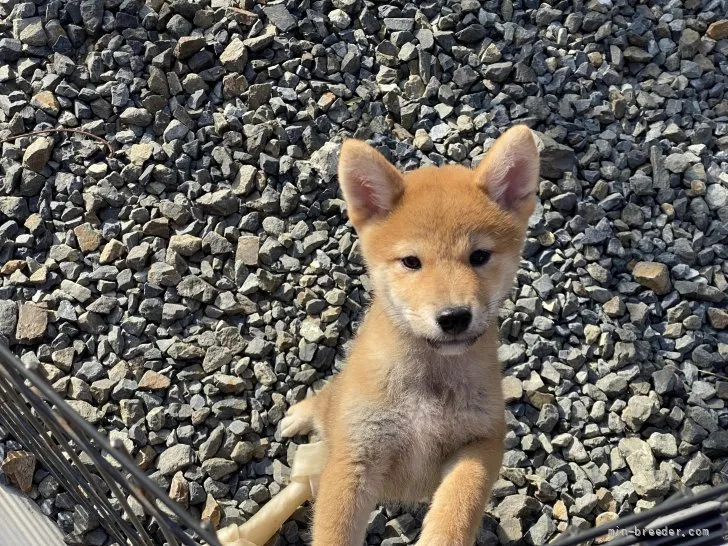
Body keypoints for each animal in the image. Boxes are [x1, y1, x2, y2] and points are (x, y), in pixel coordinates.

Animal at [278, 124, 540, 544]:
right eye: (411, 262)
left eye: (479, 256)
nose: (454, 317)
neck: (428, 381)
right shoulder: (356, 453)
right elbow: (334, 530)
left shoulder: (482, 439)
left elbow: (459, 504)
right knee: (323, 399)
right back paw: (298, 415)